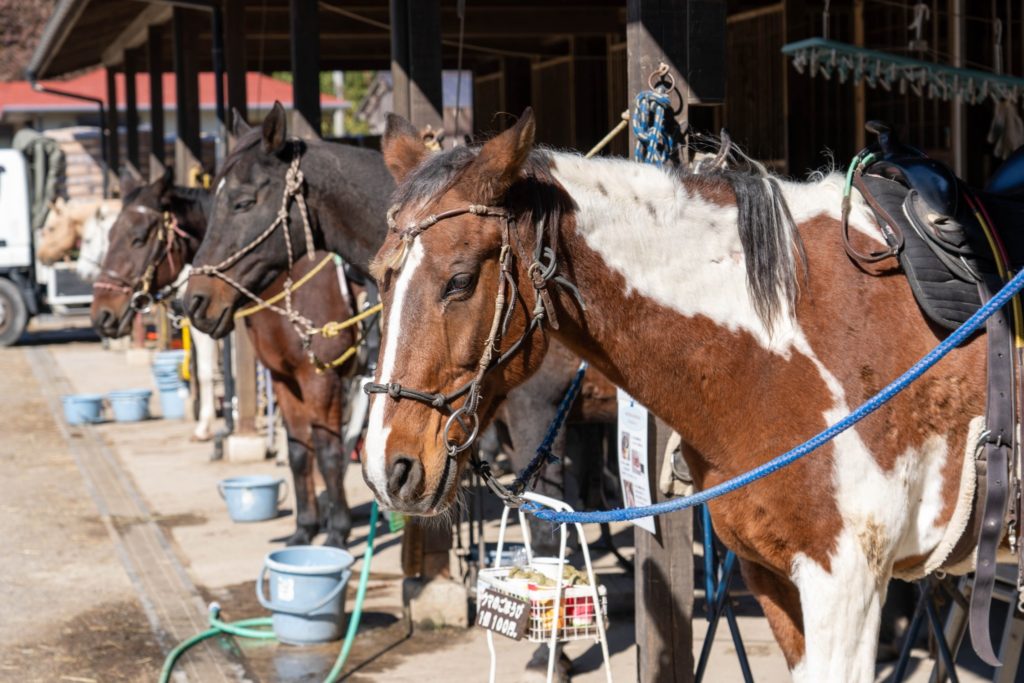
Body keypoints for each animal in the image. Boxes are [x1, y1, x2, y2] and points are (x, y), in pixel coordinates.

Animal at [89, 167, 360, 548]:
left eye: (138, 239)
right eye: (111, 234)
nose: (102, 314)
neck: (288, 283)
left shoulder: (321, 379)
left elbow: (328, 453)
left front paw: (337, 532)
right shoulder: (284, 378)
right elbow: (297, 451)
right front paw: (304, 528)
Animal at [364, 109, 995, 679]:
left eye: (460, 281)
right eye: (378, 277)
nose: (385, 468)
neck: (779, 346)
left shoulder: (845, 584)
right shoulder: (773, 577)